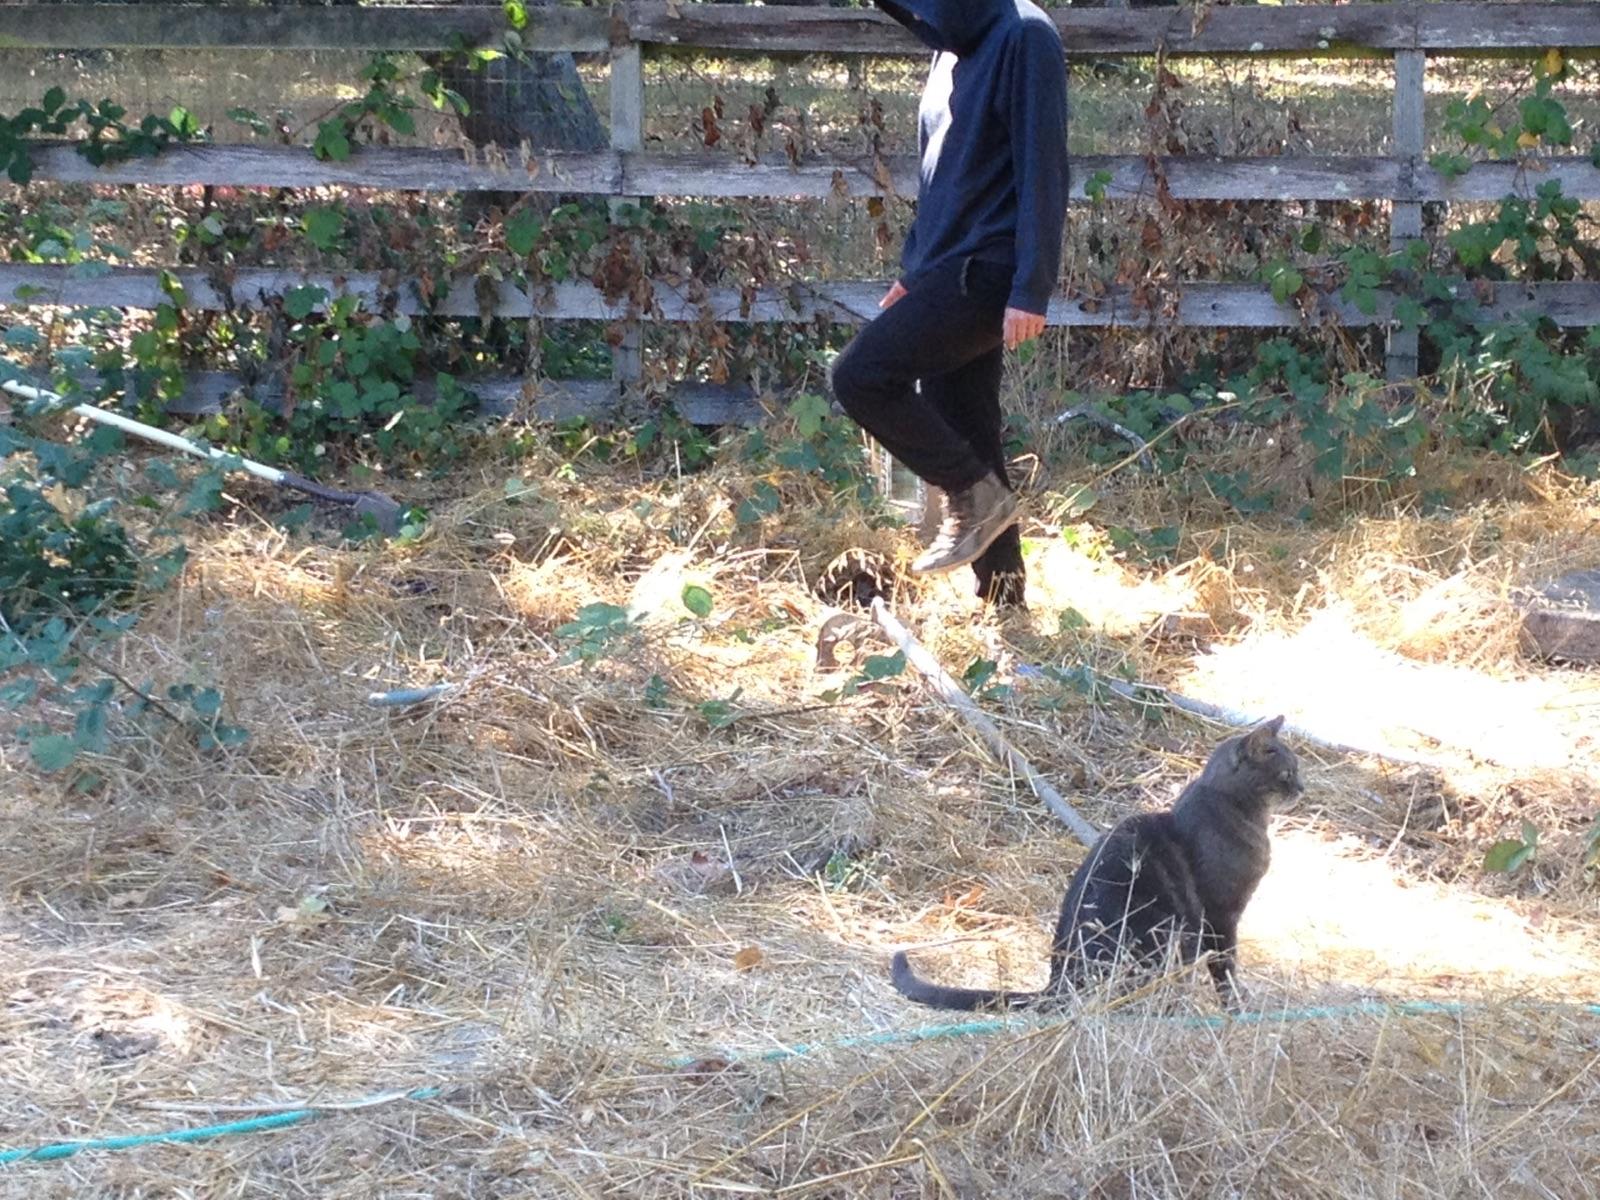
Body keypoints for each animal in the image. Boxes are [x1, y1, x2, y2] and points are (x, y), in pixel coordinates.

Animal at [891, 716, 1302, 1012]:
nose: (1302, 787)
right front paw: (1237, 1007)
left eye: (1297, 770)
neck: (1239, 811)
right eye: (1286, 773)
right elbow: (1225, 969)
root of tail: (1057, 983)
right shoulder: (1221, 915)